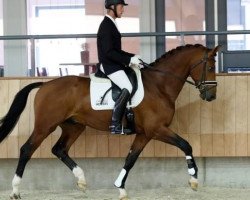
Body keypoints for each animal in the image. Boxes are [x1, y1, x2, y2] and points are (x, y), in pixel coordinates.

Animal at [0, 43, 219, 198]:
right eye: (209, 66)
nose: (211, 96)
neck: (159, 86)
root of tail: (45, 85)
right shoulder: (157, 129)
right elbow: (186, 145)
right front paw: (194, 179)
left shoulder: (145, 134)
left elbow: (130, 159)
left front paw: (120, 189)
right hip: (45, 126)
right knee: (27, 150)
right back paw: (15, 191)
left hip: (74, 126)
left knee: (59, 149)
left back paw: (81, 180)